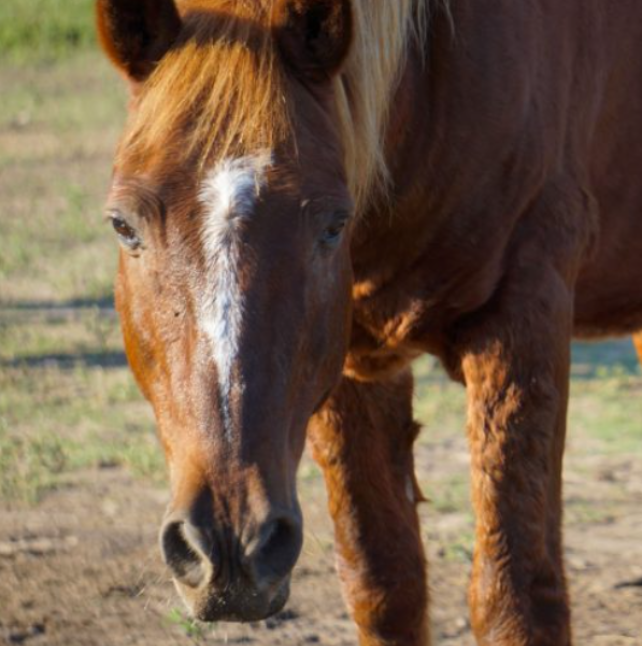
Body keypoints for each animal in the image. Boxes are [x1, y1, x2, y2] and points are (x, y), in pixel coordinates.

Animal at [96, 1, 642, 644]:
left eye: (334, 224)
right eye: (122, 225)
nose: (230, 543)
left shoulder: (523, 318)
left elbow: (515, 600)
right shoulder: (352, 361)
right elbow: (383, 583)